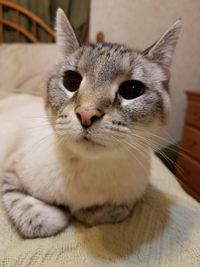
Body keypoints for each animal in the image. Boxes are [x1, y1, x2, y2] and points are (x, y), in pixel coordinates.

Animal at [0, 8, 181, 239]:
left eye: (131, 90)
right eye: (71, 81)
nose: (86, 114)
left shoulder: (129, 198)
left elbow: (105, 213)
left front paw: (84, 211)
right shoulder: (9, 171)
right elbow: (36, 214)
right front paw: (58, 213)